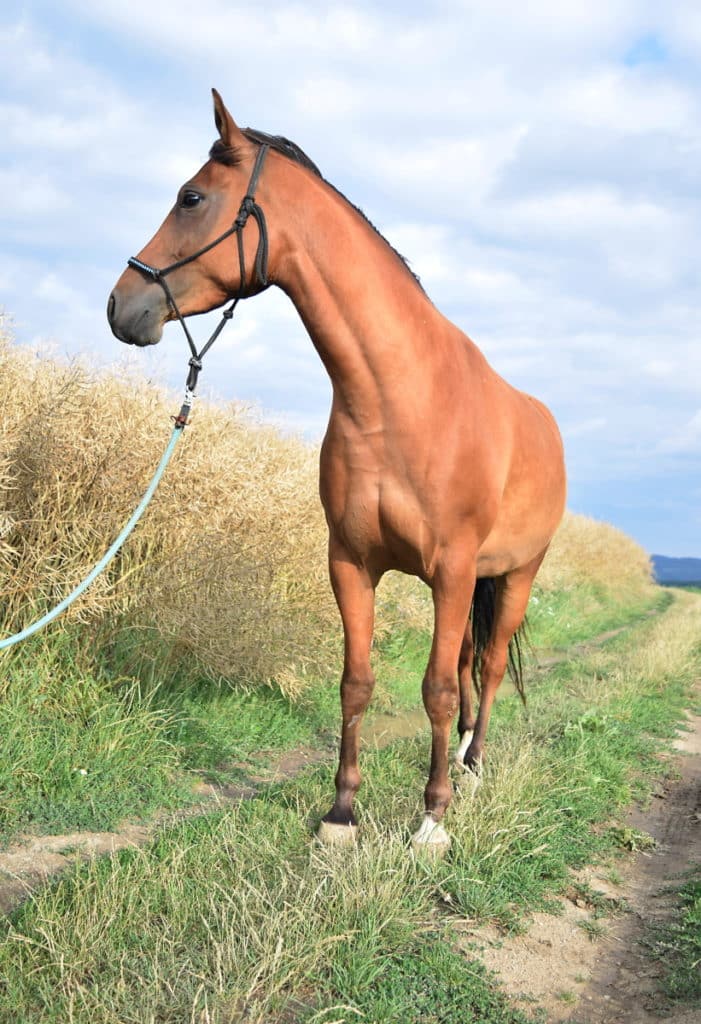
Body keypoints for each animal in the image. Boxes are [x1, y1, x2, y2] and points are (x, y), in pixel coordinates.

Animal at [110, 90, 568, 856]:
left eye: (191, 197)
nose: (121, 306)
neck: (399, 397)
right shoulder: (351, 561)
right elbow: (357, 682)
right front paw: (341, 814)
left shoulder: (450, 568)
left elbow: (436, 688)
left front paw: (430, 821)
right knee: (469, 667)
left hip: (514, 576)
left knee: (488, 667)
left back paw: (471, 768)